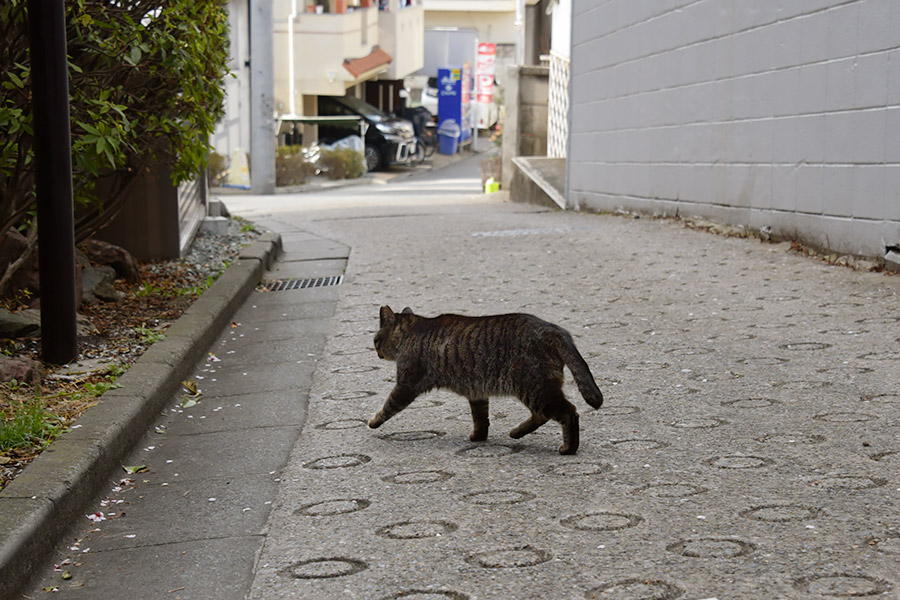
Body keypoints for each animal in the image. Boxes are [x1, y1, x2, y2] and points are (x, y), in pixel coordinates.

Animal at [366, 304, 604, 454]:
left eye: (376, 340)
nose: (376, 352)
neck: (414, 332)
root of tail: (553, 329)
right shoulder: (477, 392)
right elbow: (481, 419)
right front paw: (478, 436)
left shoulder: (406, 384)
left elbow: (388, 406)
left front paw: (373, 421)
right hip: (537, 389)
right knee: (542, 415)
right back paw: (516, 432)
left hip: (535, 388)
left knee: (568, 413)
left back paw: (568, 448)